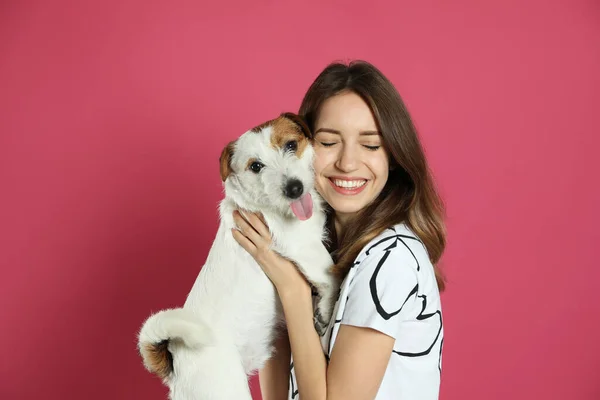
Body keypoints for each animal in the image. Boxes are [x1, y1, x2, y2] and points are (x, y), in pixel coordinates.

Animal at [138, 112, 340, 400]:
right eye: (255, 166)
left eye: (291, 145)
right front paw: (325, 310)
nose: (294, 188)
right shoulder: (305, 247)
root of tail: (176, 367)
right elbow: (332, 276)